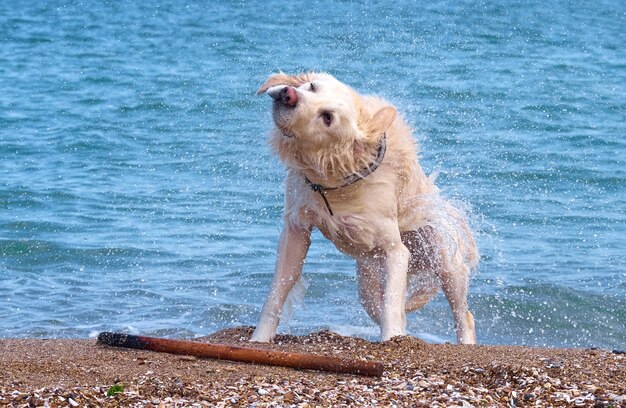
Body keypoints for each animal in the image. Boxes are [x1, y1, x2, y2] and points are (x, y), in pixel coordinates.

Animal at [251, 73, 476, 344]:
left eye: (327, 117)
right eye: (312, 86)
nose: (288, 95)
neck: (335, 177)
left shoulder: (395, 250)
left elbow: (391, 304)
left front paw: (391, 339)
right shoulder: (296, 228)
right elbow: (278, 290)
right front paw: (259, 338)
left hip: (444, 258)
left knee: (463, 314)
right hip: (367, 278)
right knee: (383, 305)